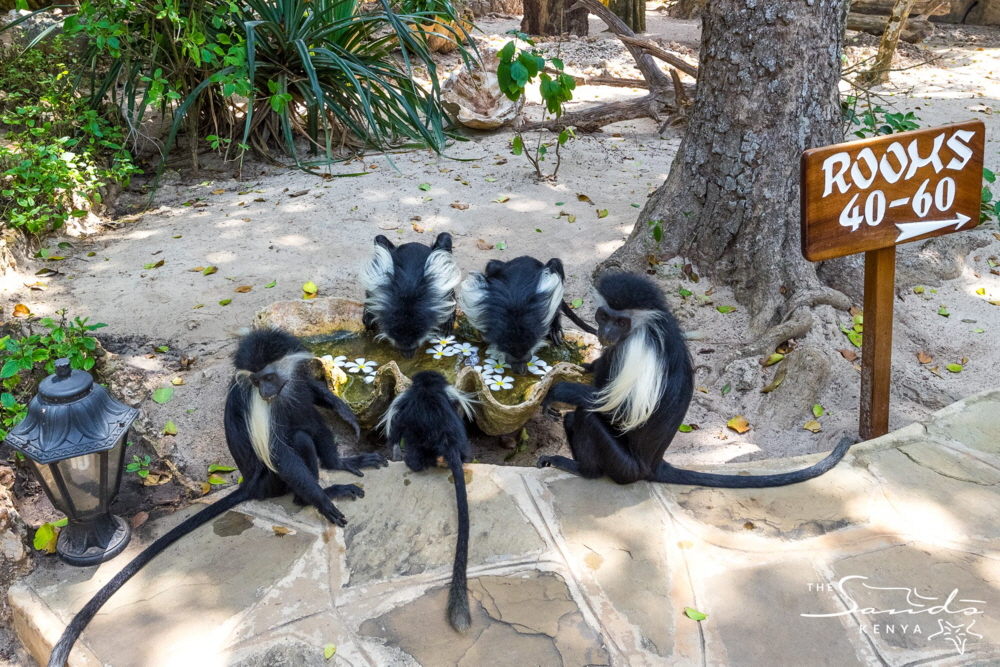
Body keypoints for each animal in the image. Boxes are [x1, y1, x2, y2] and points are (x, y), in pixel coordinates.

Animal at [47, 327, 387, 666]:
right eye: (256, 381)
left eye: (268, 377)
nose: (266, 391)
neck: (277, 390)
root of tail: (251, 484)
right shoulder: (260, 406)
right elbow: (280, 452)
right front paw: (324, 502)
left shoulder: (295, 378)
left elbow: (313, 392)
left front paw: (342, 409)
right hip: (272, 481)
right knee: (301, 434)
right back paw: (316, 494)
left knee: (308, 413)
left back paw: (339, 463)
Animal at [381, 371, 476, 633]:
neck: (426, 387)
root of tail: (446, 438)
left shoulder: (404, 403)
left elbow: (397, 429)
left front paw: (395, 451)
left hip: (420, 443)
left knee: (415, 456)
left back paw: (411, 461)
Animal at [458, 256, 596, 375]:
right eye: (511, 361)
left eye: (526, 360)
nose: (521, 371)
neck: (515, 323)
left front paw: (554, 327)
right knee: (491, 265)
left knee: (555, 263)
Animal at [536, 273, 853, 488]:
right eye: (604, 316)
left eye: (621, 322)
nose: (607, 333)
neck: (648, 325)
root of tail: (652, 466)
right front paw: (586, 365)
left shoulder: (637, 346)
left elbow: (620, 410)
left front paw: (557, 389)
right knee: (574, 418)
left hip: (624, 467)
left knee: (586, 418)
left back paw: (582, 470)